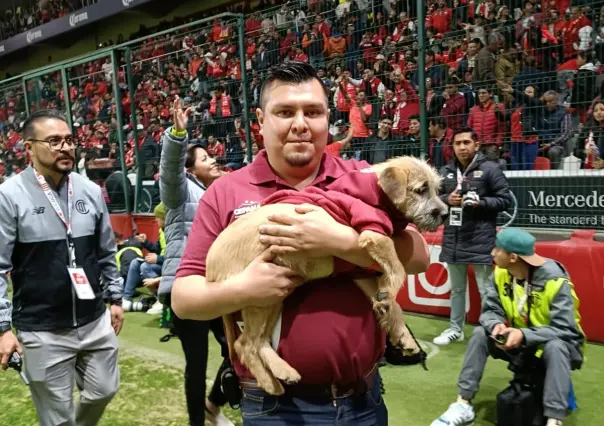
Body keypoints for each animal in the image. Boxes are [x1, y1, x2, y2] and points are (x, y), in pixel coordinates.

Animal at [206, 157, 448, 396]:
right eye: (421, 189)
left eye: (437, 189)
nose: (445, 214)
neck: (376, 191)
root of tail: (210, 273)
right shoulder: (374, 233)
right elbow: (397, 268)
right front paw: (390, 293)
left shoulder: (358, 272)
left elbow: (393, 302)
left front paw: (399, 328)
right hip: (258, 296)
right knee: (245, 344)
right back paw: (269, 383)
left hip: (274, 297)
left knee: (258, 341)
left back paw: (283, 372)